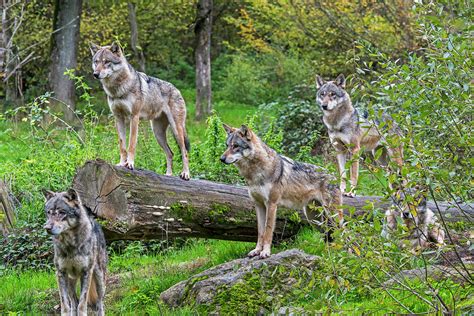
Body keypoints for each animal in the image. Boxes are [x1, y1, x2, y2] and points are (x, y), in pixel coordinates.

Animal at [90, 42, 191, 180]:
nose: (95, 74)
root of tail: (177, 89)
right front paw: (121, 164)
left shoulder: (134, 117)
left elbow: (131, 144)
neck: (118, 89)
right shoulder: (118, 118)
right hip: (157, 133)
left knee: (184, 151)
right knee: (171, 153)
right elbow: (122, 145)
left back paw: (185, 174)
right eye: (96, 62)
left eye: (106, 62)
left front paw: (130, 164)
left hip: (176, 130)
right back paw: (168, 175)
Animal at [220, 124, 342, 260]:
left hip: (332, 216)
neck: (255, 173)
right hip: (314, 219)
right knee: (329, 236)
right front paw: (256, 250)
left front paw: (265, 252)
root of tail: (334, 175)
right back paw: (331, 256)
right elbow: (260, 231)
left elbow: (268, 231)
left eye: (235, 146)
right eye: (227, 145)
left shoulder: (271, 204)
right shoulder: (258, 205)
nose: (221, 159)